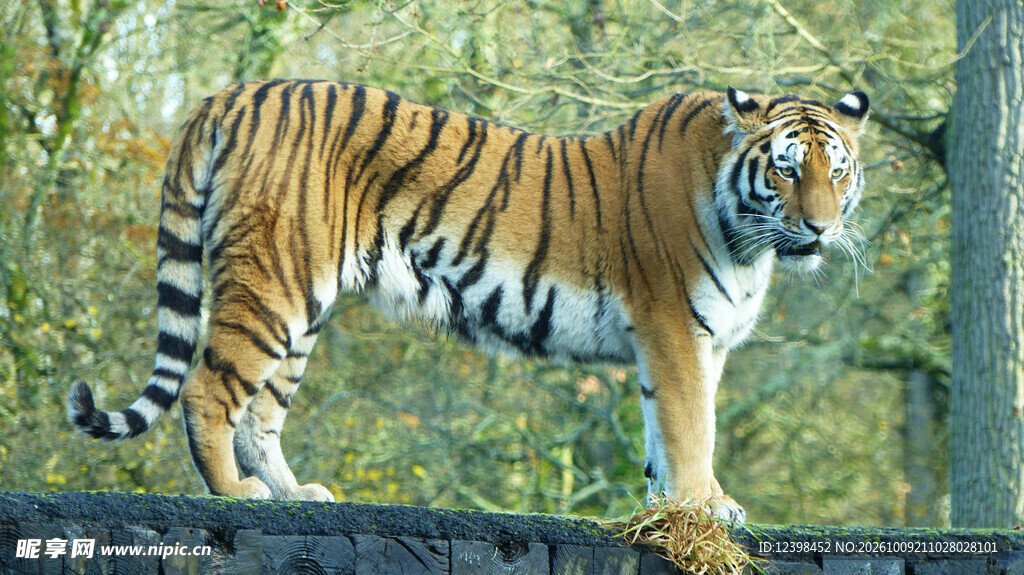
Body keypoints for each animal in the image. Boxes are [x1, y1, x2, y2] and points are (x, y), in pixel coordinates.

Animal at [68, 79, 869, 521]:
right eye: (786, 170)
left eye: (836, 171)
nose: (821, 227)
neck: (749, 236)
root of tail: (232, 93)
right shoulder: (675, 331)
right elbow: (690, 428)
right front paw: (705, 507)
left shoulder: (688, 342)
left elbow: (663, 435)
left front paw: (682, 506)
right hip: (273, 284)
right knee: (208, 390)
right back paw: (236, 495)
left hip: (302, 305)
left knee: (260, 414)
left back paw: (298, 494)